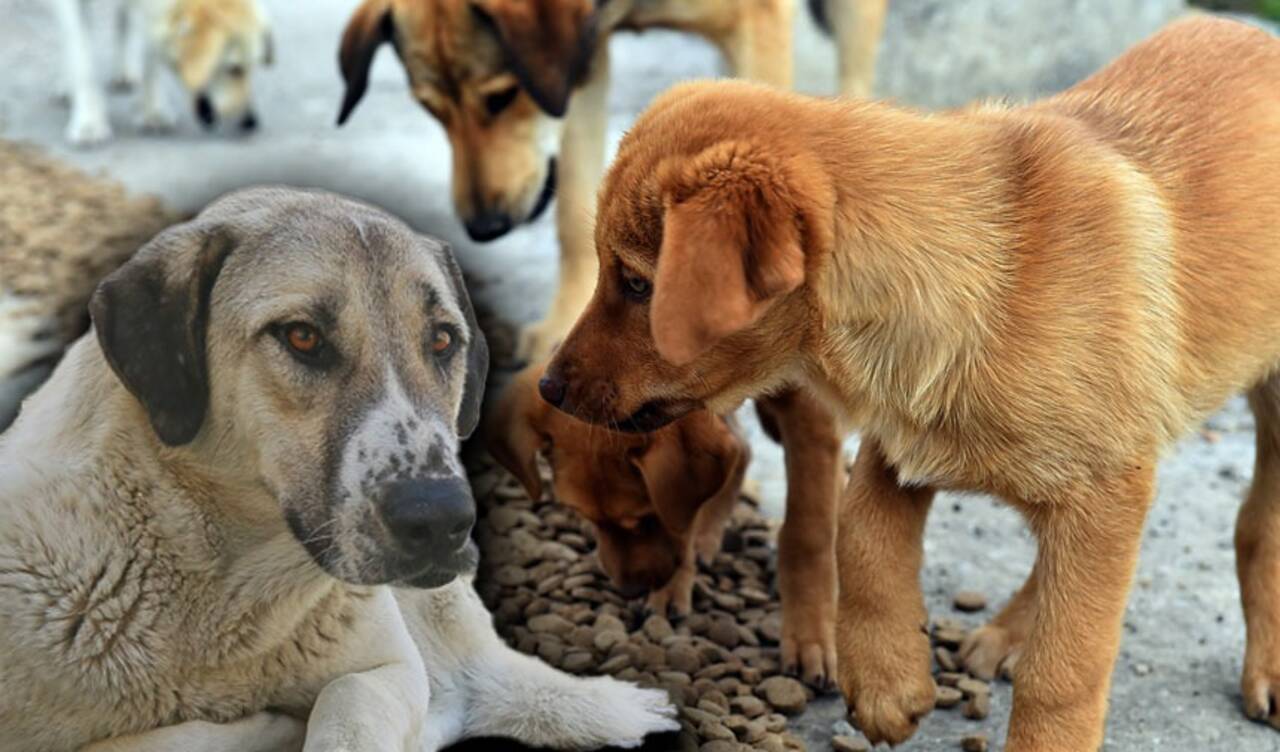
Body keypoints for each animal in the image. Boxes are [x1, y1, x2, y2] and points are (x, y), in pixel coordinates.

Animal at [0, 188, 680, 752]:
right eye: (301, 337)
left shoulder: (388, 669)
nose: (442, 521)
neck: (223, 593)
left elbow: (350, 698)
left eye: (442, 341)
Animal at [54, 0, 272, 146]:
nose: (251, 123)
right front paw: (89, 122)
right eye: (235, 69)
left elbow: (152, 57)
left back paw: (123, 72)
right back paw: (66, 88)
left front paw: (153, 113)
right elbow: (83, 62)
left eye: (249, 67)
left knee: (123, 19)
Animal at [335, 0, 885, 363]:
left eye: (502, 97)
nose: (484, 228)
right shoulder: (579, 59)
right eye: (432, 110)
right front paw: (564, 321)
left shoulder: (755, 28)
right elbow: (574, 209)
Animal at [486, 363, 839, 685]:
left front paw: (809, 636)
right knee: (741, 448)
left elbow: (806, 533)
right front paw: (673, 586)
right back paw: (707, 538)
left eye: (645, 518)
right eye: (586, 517)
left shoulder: (813, 416)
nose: (631, 590)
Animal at [535, 17, 1280, 752]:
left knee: (1257, 523)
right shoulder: (902, 440)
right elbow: (860, 537)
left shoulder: (1105, 488)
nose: (546, 387)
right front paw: (887, 686)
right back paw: (1006, 634)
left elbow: (1064, 667)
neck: (990, 278)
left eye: (638, 285)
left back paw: (1264, 669)